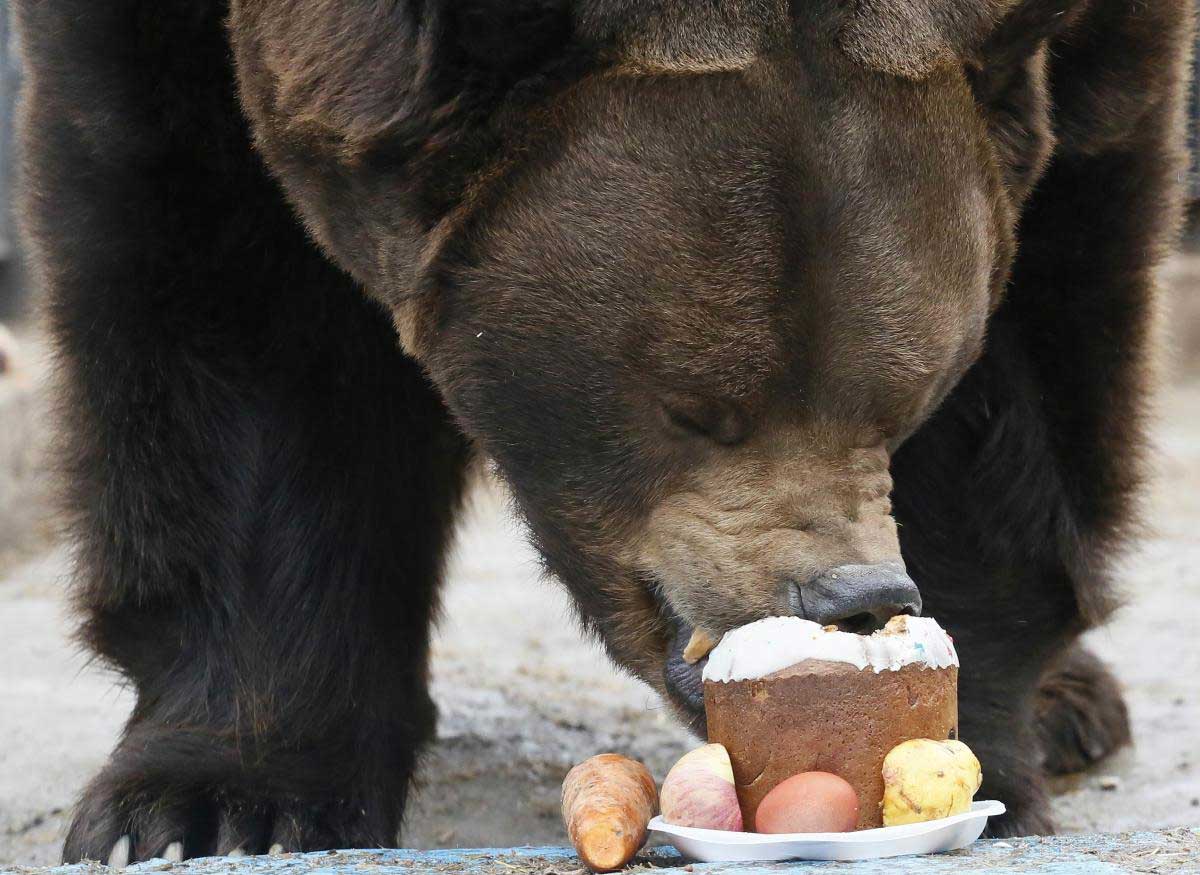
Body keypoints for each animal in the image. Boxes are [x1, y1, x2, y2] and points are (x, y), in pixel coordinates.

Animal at [12, 0, 1190, 864]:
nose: (848, 596)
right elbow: (231, 295)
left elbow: (1047, 313)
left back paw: (1073, 704)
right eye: (694, 406)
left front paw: (970, 737)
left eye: (902, 398)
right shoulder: (169, 53)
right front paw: (216, 802)